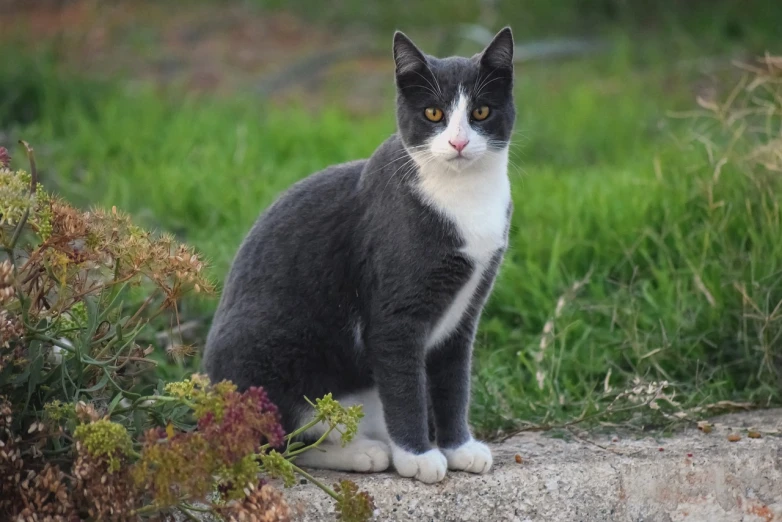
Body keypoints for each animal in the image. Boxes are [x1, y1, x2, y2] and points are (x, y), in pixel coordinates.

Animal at [205, 27, 516, 484]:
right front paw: (418, 455)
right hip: (269, 355)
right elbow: (405, 385)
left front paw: (458, 447)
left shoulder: (465, 313)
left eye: (480, 111)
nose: (458, 142)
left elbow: (453, 381)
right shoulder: (395, 316)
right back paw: (363, 453)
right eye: (433, 114)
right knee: (279, 445)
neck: (462, 196)